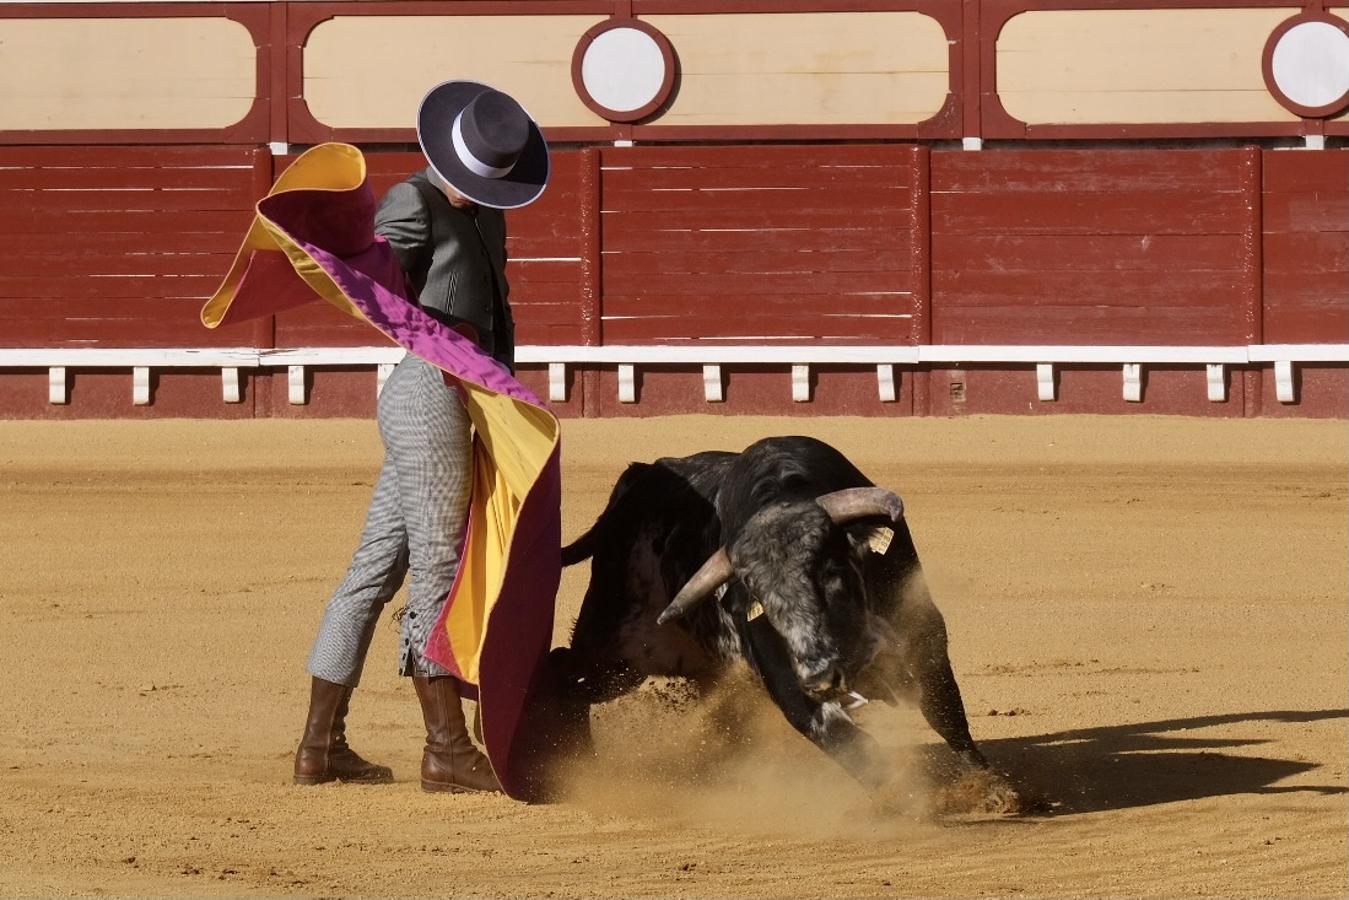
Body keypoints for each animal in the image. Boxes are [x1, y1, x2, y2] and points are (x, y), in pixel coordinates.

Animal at [542, 437, 998, 788]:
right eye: (761, 598)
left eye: (831, 572)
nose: (820, 678)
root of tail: (636, 479)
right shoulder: (786, 681)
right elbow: (847, 742)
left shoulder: (924, 630)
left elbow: (944, 709)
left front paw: (988, 785)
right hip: (614, 647)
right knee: (564, 669)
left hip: (647, 664)